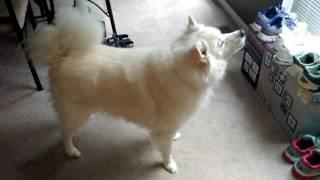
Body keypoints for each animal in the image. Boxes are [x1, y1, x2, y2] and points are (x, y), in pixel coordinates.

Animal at [28, 9, 245, 174]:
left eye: (222, 34)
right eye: (221, 43)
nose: (243, 32)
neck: (182, 72)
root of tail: (62, 54)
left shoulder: (164, 127)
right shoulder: (165, 129)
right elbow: (167, 151)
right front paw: (169, 166)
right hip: (78, 114)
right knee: (64, 132)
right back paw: (71, 151)